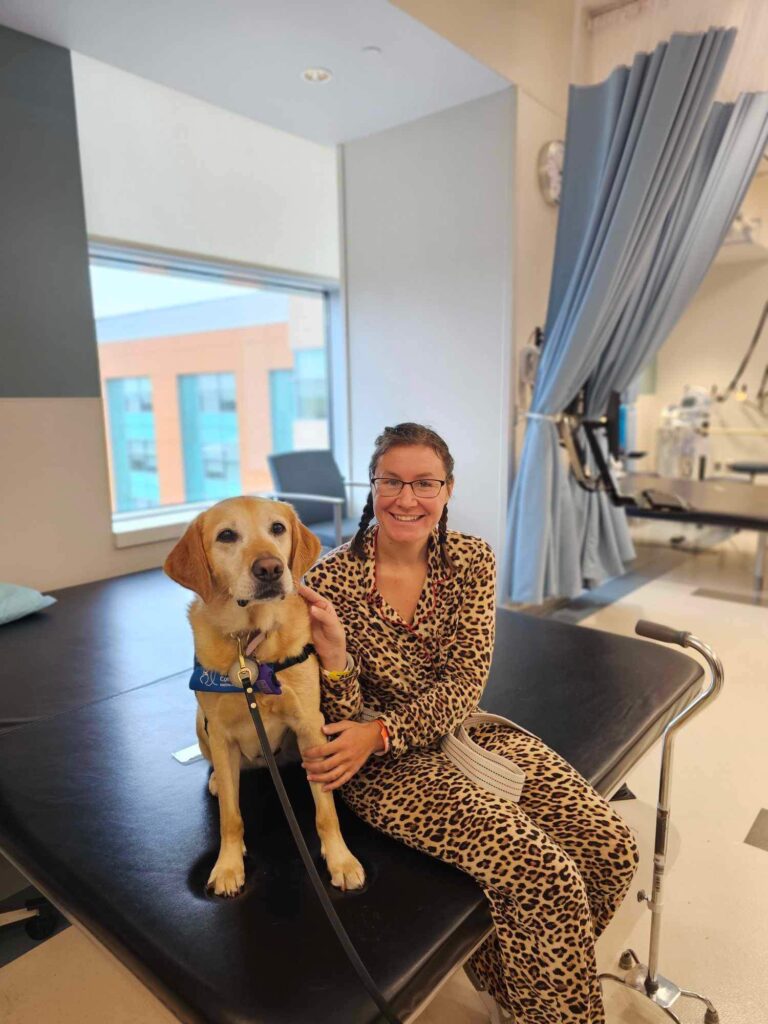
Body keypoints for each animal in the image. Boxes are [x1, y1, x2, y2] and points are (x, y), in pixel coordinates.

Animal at [162, 495, 366, 897]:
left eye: (277, 528)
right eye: (226, 535)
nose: (270, 568)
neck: (251, 641)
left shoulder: (309, 726)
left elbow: (326, 813)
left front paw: (340, 859)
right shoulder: (221, 733)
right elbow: (230, 816)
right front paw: (228, 865)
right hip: (201, 727)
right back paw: (216, 779)